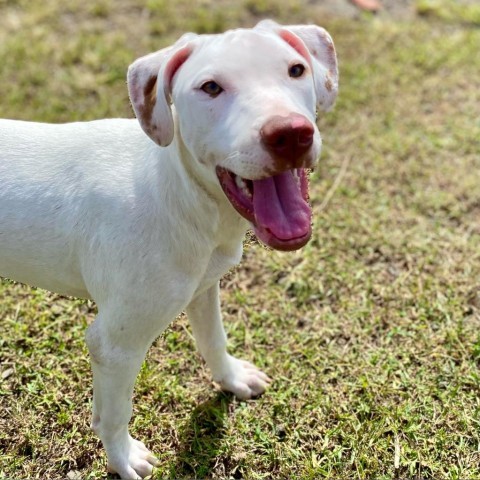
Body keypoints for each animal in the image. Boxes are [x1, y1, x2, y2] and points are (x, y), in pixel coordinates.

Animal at [0, 20, 338, 478]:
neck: (178, 191)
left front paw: (232, 379)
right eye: (210, 87)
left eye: (296, 69)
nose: (288, 133)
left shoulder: (204, 288)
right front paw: (123, 459)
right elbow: (114, 413)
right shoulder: (114, 344)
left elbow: (214, 339)